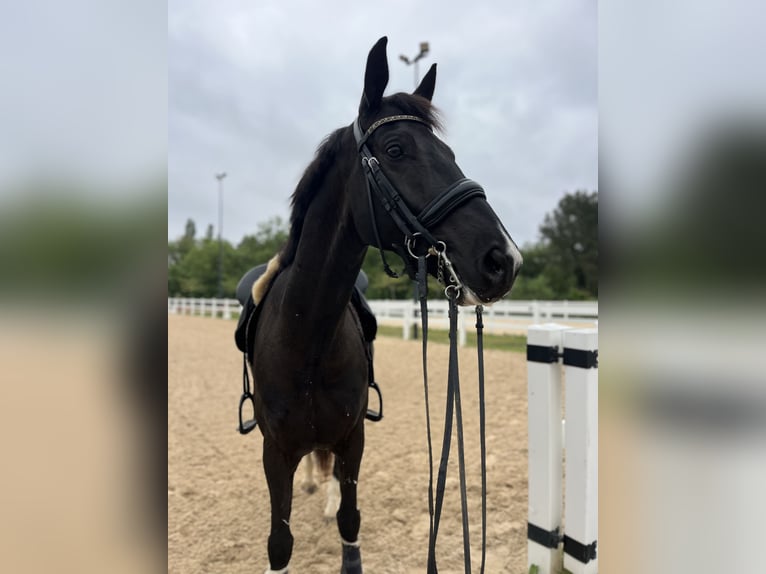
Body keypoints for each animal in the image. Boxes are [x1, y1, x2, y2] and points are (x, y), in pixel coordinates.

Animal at [248, 37, 522, 574]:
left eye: (450, 153)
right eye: (396, 150)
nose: (504, 260)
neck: (306, 338)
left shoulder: (353, 439)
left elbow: (350, 520)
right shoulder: (275, 451)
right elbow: (279, 542)